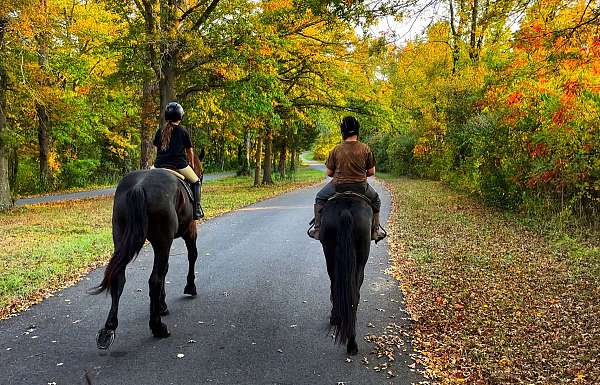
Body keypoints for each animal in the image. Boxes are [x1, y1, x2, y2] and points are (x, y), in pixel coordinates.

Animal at [92, 155, 204, 348]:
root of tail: (139, 186)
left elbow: (166, 268)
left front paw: (162, 305)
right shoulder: (189, 230)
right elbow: (192, 256)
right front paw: (190, 287)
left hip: (121, 236)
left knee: (119, 278)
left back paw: (109, 329)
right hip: (164, 241)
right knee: (154, 280)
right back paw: (158, 327)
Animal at [322, 194, 372, 356]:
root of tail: (346, 210)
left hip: (329, 253)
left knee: (337, 286)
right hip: (360, 259)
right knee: (354, 295)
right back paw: (351, 342)